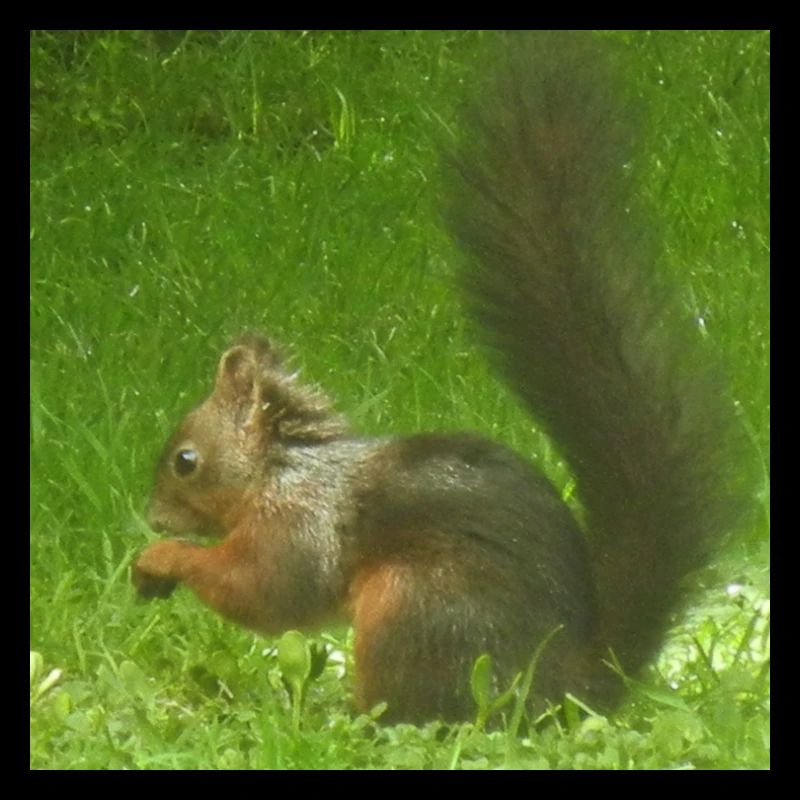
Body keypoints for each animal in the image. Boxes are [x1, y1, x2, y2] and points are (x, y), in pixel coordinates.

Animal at [132, 33, 751, 724]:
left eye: (185, 461)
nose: (154, 518)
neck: (279, 469)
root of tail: (566, 689)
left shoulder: (297, 528)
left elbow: (265, 593)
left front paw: (164, 558)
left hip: (414, 609)